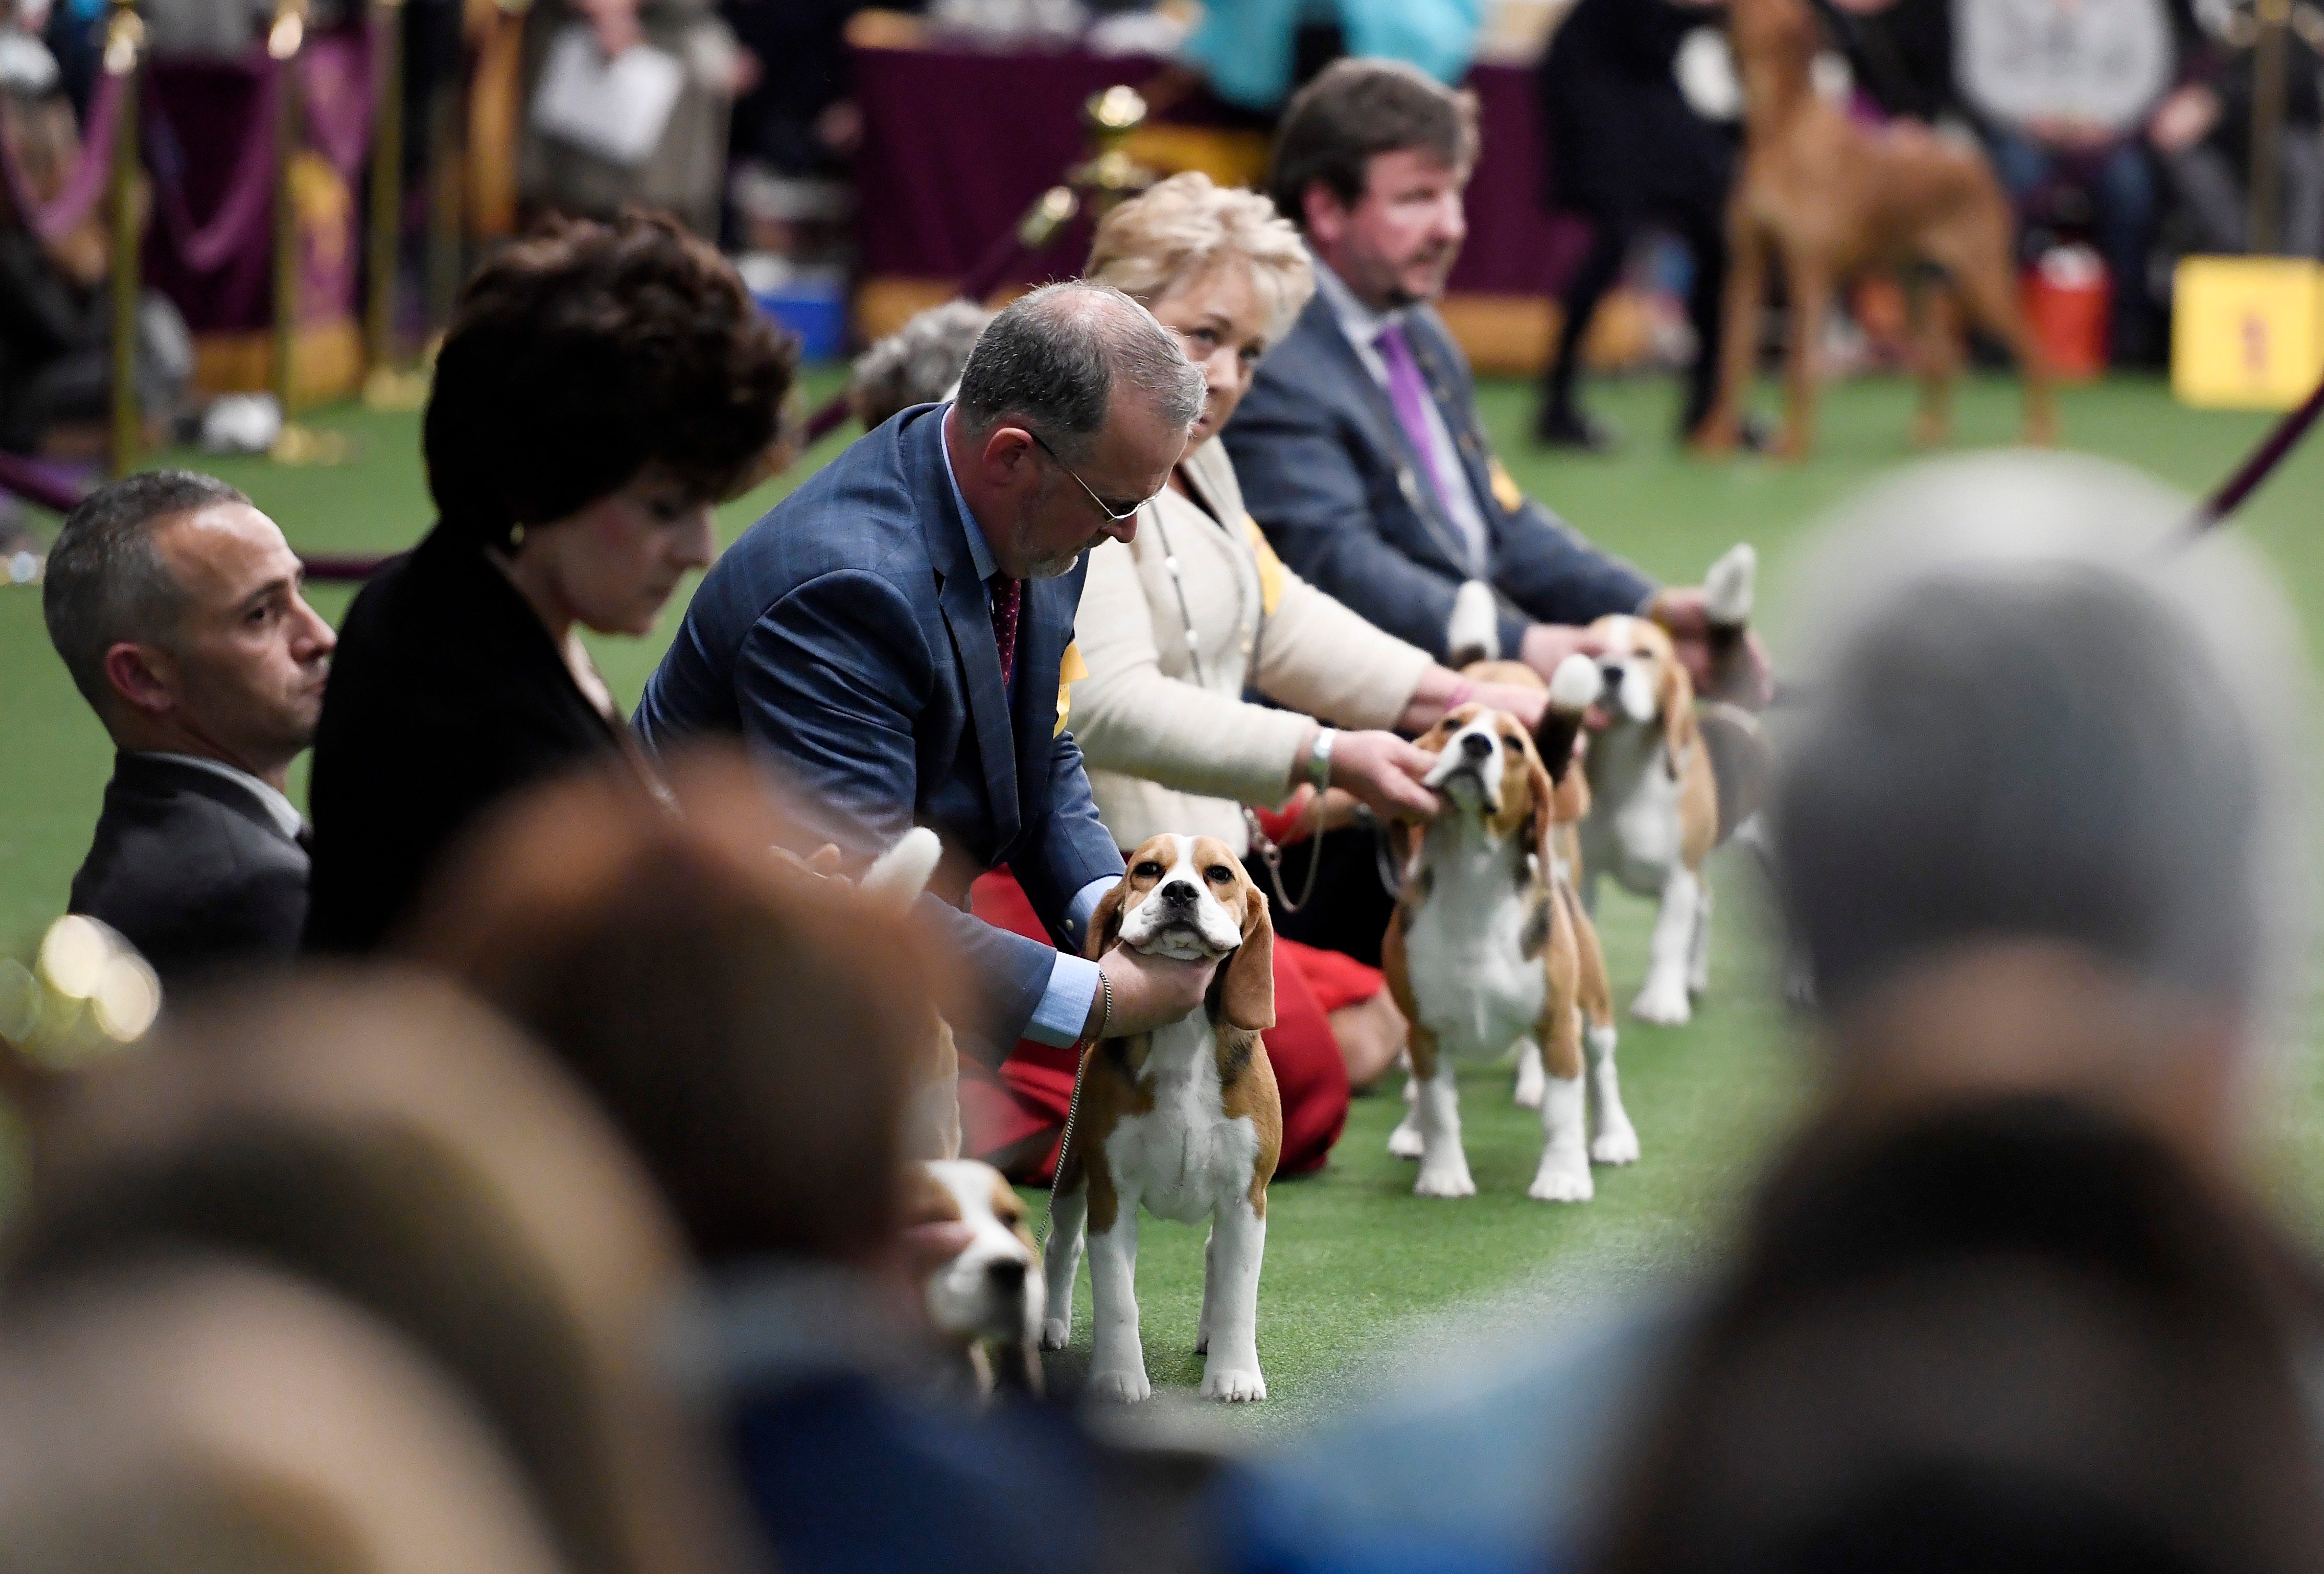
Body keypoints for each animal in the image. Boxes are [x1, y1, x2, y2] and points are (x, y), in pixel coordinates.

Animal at [1041, 837, 1282, 1404]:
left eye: (1219, 874)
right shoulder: (1112, 1196)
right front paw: (1118, 1377)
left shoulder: (1246, 1198)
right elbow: (1117, 1299)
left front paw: (1234, 1373)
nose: (1179, 892)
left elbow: (1237, 1293)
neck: (1183, 1034)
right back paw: (1052, 1325)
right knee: (1061, 1245)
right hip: (1072, 1174)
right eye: (1148, 869)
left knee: (1215, 1254)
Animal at [1375, 655, 1636, 1199]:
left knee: (1602, 1068)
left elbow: (1563, 1113)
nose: (1476, 744)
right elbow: (1439, 1109)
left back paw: (1612, 1137)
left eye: (1514, 743)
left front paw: (1562, 1177)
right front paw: (1442, 1174)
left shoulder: (1558, 1025)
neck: (1472, 877)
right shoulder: (1425, 1031)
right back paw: (1412, 1133)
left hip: (1592, 1008)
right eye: (1452, 724)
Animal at [1571, 546, 1748, 1023]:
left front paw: (1663, 1003)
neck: (1626, 772)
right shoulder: (1585, 872)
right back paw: (1694, 978)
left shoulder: (1677, 877)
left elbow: (1665, 943)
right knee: (1706, 907)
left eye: (1644, 655)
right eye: (1591, 652)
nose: (1611, 673)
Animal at [1692, 0, 2054, 460]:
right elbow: (1732, 360)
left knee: (2032, 351)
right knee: (1943, 356)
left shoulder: (1807, 275)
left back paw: (2037, 435)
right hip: (1911, 286)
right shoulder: (1745, 270)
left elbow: (1798, 366)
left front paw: (1793, 446)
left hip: (1980, 279)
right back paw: (1931, 434)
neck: (1780, 130)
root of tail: (1974, 162)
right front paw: (1715, 442)